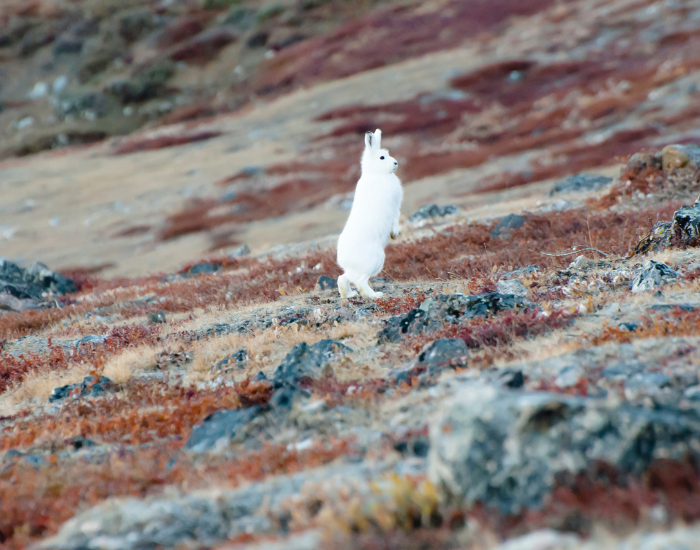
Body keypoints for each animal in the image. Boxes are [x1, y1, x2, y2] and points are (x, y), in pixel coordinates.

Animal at [336, 129, 403, 300]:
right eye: (382, 157)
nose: (395, 163)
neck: (376, 173)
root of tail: (346, 261)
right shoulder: (394, 208)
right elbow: (396, 219)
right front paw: (394, 235)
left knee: (342, 278)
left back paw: (349, 295)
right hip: (376, 261)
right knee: (360, 281)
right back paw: (375, 295)